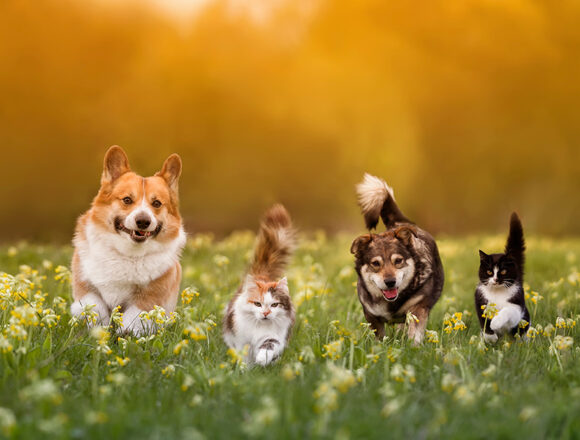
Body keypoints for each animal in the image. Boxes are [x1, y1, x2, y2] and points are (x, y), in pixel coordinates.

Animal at [69, 146, 186, 336]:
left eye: (157, 203)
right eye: (127, 200)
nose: (143, 221)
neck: (127, 253)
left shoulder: (150, 296)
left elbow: (133, 318)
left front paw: (124, 335)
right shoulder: (85, 286)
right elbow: (95, 307)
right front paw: (98, 331)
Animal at [222, 205, 294, 366]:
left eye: (274, 305)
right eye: (257, 304)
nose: (266, 313)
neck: (259, 327)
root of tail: (262, 275)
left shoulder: (274, 337)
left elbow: (268, 346)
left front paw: (261, 360)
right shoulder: (241, 340)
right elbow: (243, 356)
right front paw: (244, 368)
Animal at [348, 174, 444, 344]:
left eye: (398, 261)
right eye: (375, 263)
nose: (390, 282)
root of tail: (399, 222)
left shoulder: (418, 307)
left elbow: (415, 332)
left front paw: (413, 346)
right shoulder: (371, 315)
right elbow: (378, 336)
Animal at [476, 213, 532, 344]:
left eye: (503, 271)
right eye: (489, 271)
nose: (496, 279)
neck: (497, 293)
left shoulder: (517, 306)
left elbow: (508, 311)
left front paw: (495, 323)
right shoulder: (480, 300)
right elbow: (483, 321)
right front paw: (490, 338)